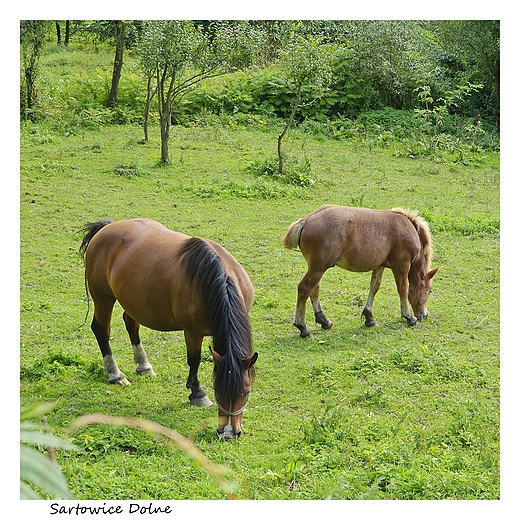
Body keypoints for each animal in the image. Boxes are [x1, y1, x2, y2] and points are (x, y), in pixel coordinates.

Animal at [79, 219, 258, 438]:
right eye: (217, 389)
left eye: (246, 391)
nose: (228, 433)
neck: (217, 279)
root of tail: (106, 227)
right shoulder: (193, 332)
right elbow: (194, 360)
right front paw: (197, 393)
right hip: (103, 298)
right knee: (101, 330)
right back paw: (115, 374)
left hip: (133, 301)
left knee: (131, 324)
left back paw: (144, 365)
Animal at [284, 203, 438, 338]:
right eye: (430, 290)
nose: (424, 315)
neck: (407, 228)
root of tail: (306, 220)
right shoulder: (401, 266)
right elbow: (403, 289)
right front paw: (409, 317)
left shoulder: (380, 265)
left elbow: (374, 287)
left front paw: (369, 317)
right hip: (318, 268)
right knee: (304, 289)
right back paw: (303, 328)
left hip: (317, 268)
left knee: (314, 290)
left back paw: (324, 321)